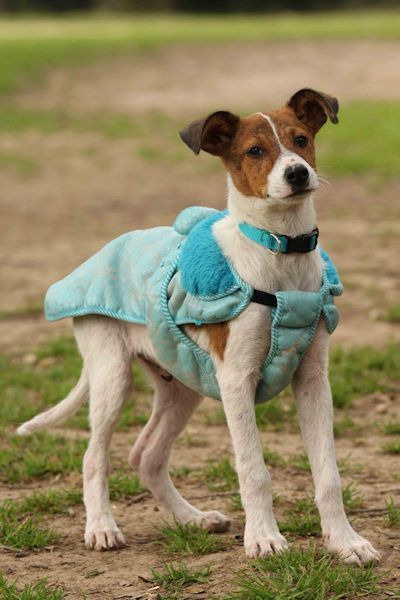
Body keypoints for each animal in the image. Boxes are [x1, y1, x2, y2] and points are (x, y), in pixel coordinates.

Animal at [18, 88, 380, 564]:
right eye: (255, 151)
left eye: (301, 140)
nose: (298, 173)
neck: (279, 252)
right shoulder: (237, 379)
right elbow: (254, 470)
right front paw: (264, 538)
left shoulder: (313, 379)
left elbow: (328, 474)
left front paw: (345, 542)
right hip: (112, 375)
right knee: (95, 457)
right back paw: (101, 528)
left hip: (181, 384)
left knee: (147, 456)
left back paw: (193, 519)